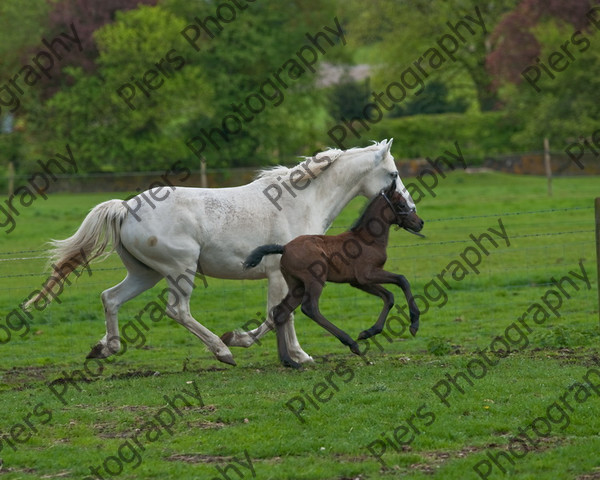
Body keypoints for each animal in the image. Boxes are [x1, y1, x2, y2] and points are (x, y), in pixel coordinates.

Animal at [25, 141, 414, 366]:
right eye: (394, 174)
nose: (411, 210)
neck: (301, 201)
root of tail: (125, 207)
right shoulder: (280, 275)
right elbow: (278, 315)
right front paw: (274, 350)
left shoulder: (290, 278)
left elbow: (282, 315)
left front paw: (292, 354)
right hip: (180, 270)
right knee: (177, 310)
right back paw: (221, 352)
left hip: (144, 274)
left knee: (111, 298)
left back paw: (106, 348)